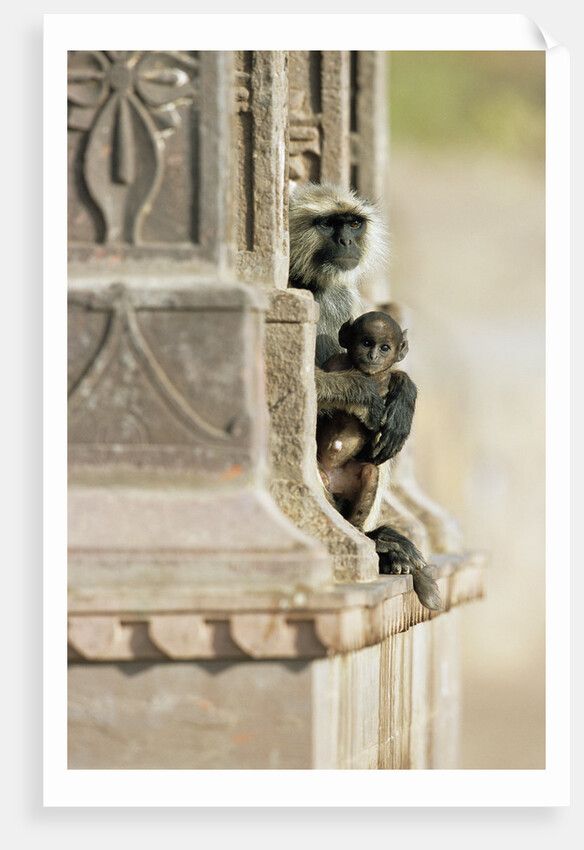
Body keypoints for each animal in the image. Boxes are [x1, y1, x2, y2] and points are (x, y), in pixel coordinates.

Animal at [316, 312, 417, 529]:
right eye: (366, 343)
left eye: (385, 347)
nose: (373, 355)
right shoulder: (335, 362)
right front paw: (364, 395)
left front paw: (403, 397)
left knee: (370, 473)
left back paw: (357, 526)